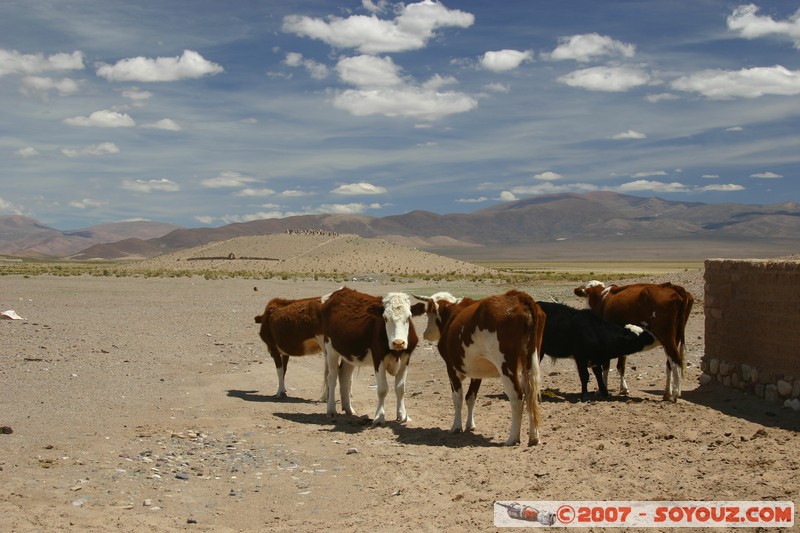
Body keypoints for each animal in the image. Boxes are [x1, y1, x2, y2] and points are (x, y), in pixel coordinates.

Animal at [320, 287, 425, 426]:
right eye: (385, 318)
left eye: (408, 317)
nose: (398, 343)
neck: (395, 352)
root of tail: (338, 293)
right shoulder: (378, 359)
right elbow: (382, 389)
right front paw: (379, 418)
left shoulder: (405, 359)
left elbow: (400, 388)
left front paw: (403, 415)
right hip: (330, 349)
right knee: (332, 377)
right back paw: (331, 410)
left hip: (349, 354)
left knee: (344, 377)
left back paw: (348, 409)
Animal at [414, 290, 544, 446]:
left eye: (428, 312)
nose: (425, 333)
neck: (452, 313)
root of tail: (518, 297)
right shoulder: (477, 371)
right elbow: (470, 397)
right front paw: (470, 425)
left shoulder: (451, 368)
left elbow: (457, 398)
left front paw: (456, 426)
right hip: (530, 363)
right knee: (531, 395)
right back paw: (534, 437)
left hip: (506, 366)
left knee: (517, 396)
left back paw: (512, 438)